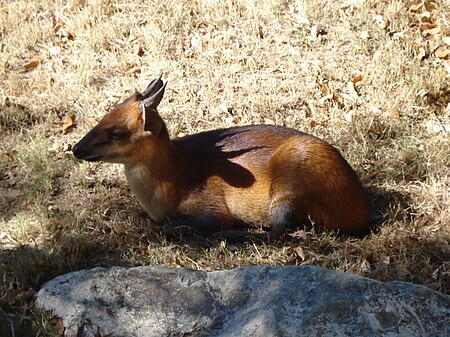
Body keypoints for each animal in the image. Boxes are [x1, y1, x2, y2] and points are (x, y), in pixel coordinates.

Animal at [73, 75, 370, 240]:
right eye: (105, 114)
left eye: (117, 133)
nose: (76, 149)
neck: (174, 178)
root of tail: (359, 211)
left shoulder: (211, 210)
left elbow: (172, 226)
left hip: (289, 185)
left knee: (278, 233)